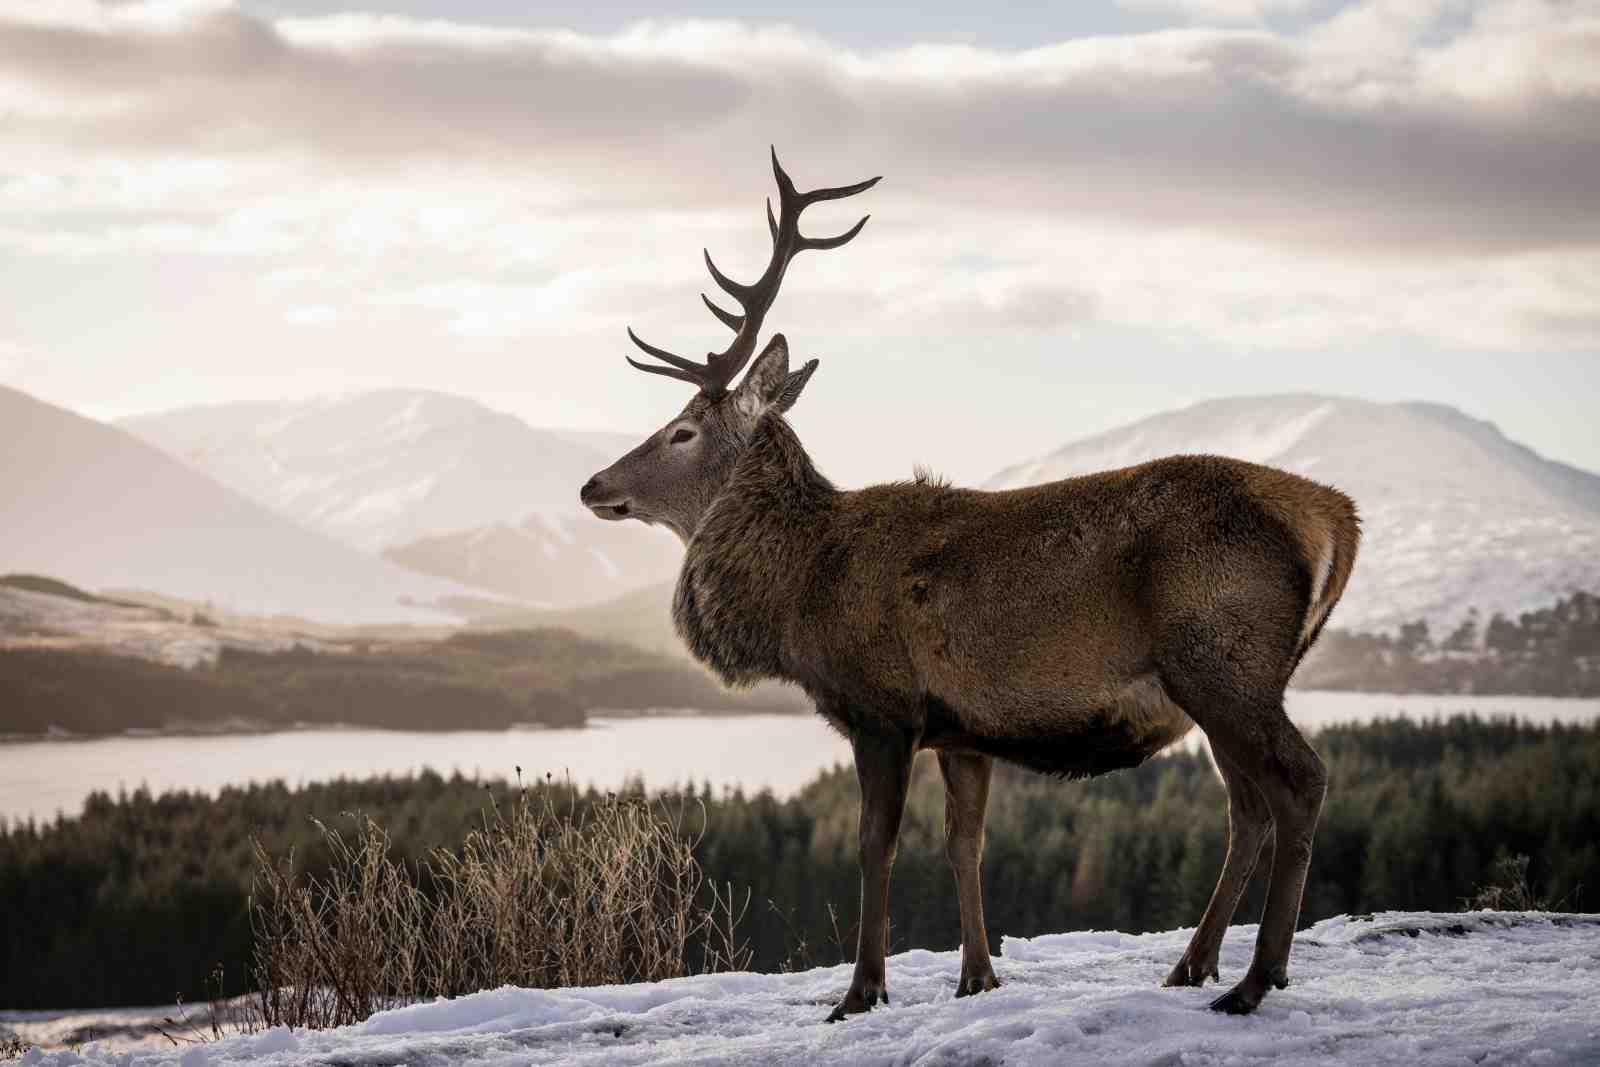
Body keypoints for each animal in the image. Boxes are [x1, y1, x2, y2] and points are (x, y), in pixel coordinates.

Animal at [579, 150, 1360, 1020]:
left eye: (681, 431)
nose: (592, 484)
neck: (801, 595)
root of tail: (1337, 518)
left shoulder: (882, 708)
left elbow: (874, 844)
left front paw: (861, 989)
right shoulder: (962, 729)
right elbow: (965, 842)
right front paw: (978, 974)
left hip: (1224, 660)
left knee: (1300, 782)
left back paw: (1257, 977)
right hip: (1225, 681)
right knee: (1247, 806)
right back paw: (1194, 962)